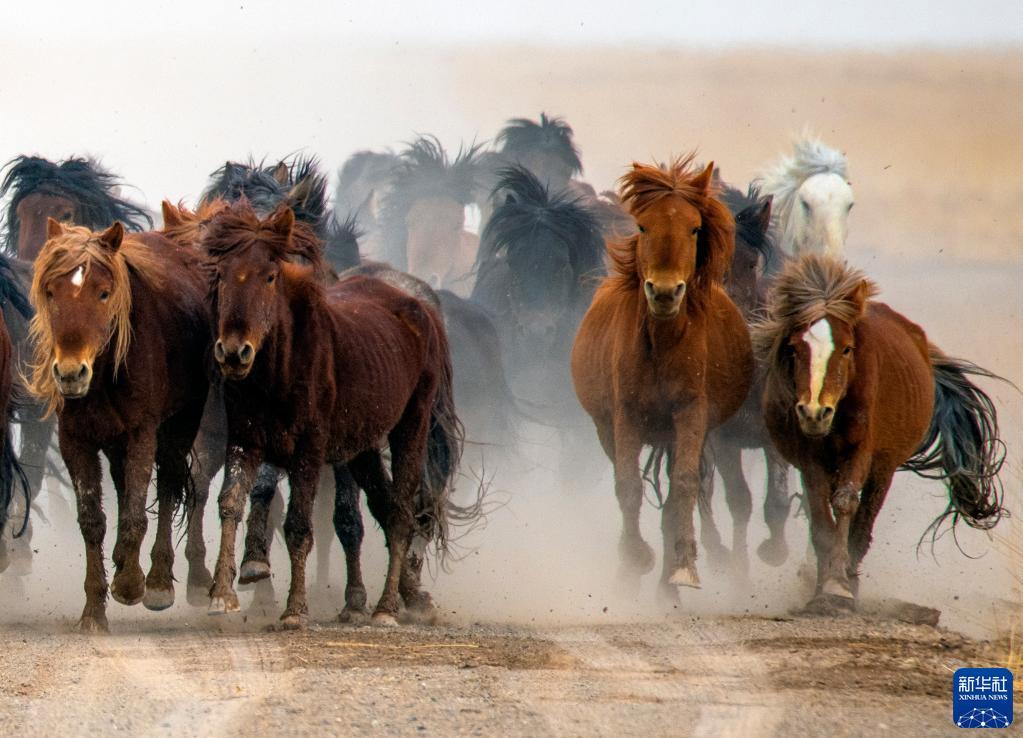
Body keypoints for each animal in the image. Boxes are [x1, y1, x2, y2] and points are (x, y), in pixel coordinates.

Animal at [29, 219, 211, 634]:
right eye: (51, 291)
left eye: (103, 292)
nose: (70, 373)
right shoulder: (75, 440)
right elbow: (92, 518)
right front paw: (94, 611)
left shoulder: (142, 432)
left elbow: (134, 511)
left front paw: (130, 585)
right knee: (123, 482)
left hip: (180, 425)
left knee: (169, 484)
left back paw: (157, 581)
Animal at [202, 198, 464, 626]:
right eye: (221, 275)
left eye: (270, 276)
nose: (233, 352)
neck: (282, 368)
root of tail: (421, 308)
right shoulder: (245, 440)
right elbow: (231, 503)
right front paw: (223, 594)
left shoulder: (309, 452)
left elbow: (299, 526)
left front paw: (295, 610)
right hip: (363, 445)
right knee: (387, 507)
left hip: (412, 426)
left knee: (404, 511)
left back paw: (387, 607)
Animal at [572, 156, 757, 597]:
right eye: (642, 226)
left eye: (694, 228)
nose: (665, 292)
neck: (661, 345)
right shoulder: (625, 415)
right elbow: (628, 485)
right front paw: (633, 560)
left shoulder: (691, 414)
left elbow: (685, 486)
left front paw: (683, 565)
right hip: (608, 429)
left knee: (675, 492)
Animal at [761, 254, 1006, 610]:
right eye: (794, 348)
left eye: (846, 349)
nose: (814, 412)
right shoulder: (810, 460)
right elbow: (820, 517)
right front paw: (824, 585)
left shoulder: (862, 451)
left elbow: (847, 504)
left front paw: (838, 585)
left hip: (884, 468)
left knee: (865, 519)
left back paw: (851, 577)